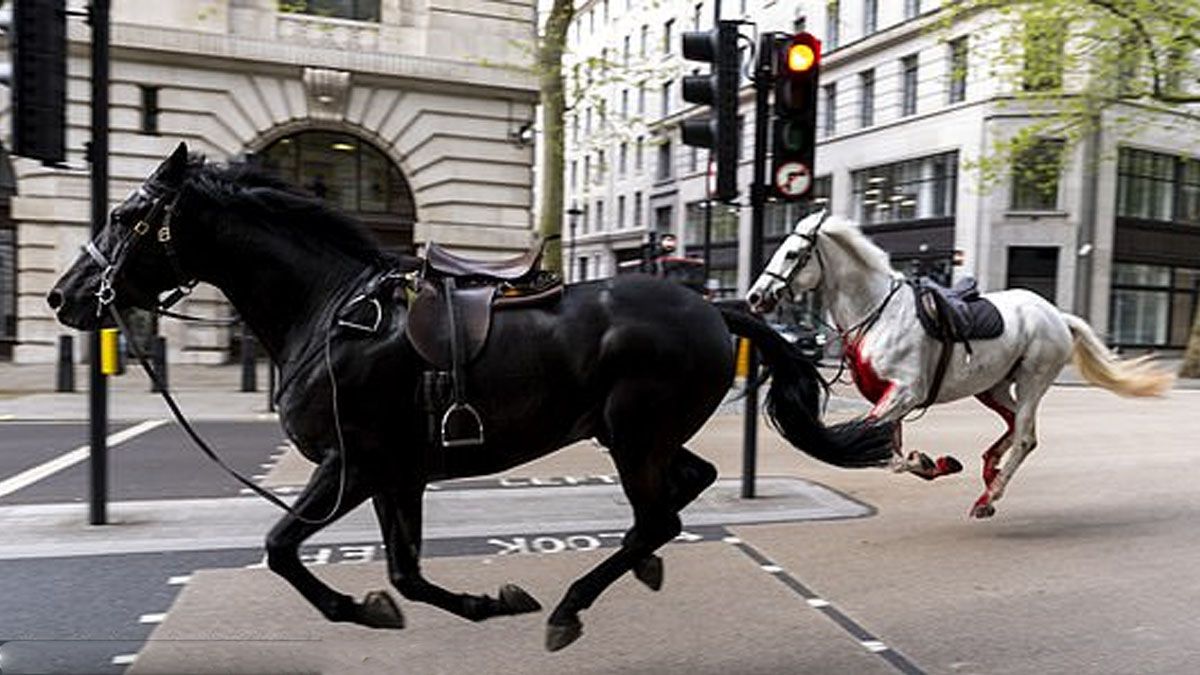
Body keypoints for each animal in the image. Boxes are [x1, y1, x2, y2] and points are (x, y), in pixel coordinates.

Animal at [48, 143, 894, 651]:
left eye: (124, 215)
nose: (63, 296)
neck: (329, 311)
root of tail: (714, 308)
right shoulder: (397, 473)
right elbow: (405, 572)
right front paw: (481, 601)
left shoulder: (351, 464)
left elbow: (284, 547)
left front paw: (360, 608)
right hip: (633, 433)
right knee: (685, 489)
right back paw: (638, 567)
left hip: (631, 433)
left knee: (659, 513)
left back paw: (573, 604)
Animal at [747, 211, 1174, 519]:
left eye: (791, 253)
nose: (755, 296)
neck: (878, 313)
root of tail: (1056, 314)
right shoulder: (890, 397)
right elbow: (889, 450)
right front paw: (933, 463)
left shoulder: (904, 393)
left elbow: (876, 449)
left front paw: (927, 462)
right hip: (993, 386)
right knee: (1015, 426)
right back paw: (990, 472)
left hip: (1033, 380)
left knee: (1024, 436)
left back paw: (990, 495)